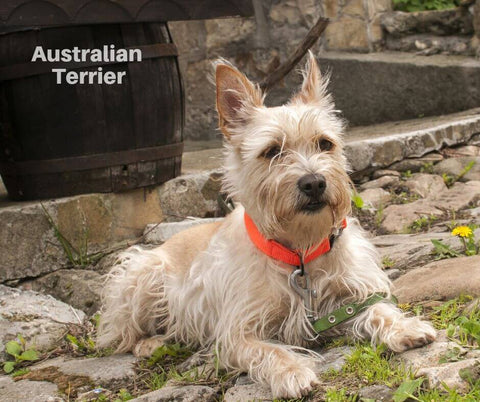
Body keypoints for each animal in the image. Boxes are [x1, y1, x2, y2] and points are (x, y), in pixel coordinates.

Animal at [97, 52, 436, 398]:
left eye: (325, 143)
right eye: (272, 151)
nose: (314, 183)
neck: (299, 252)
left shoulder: (351, 296)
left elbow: (379, 309)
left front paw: (406, 327)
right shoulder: (237, 331)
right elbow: (268, 350)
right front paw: (293, 372)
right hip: (142, 275)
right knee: (121, 334)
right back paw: (150, 343)